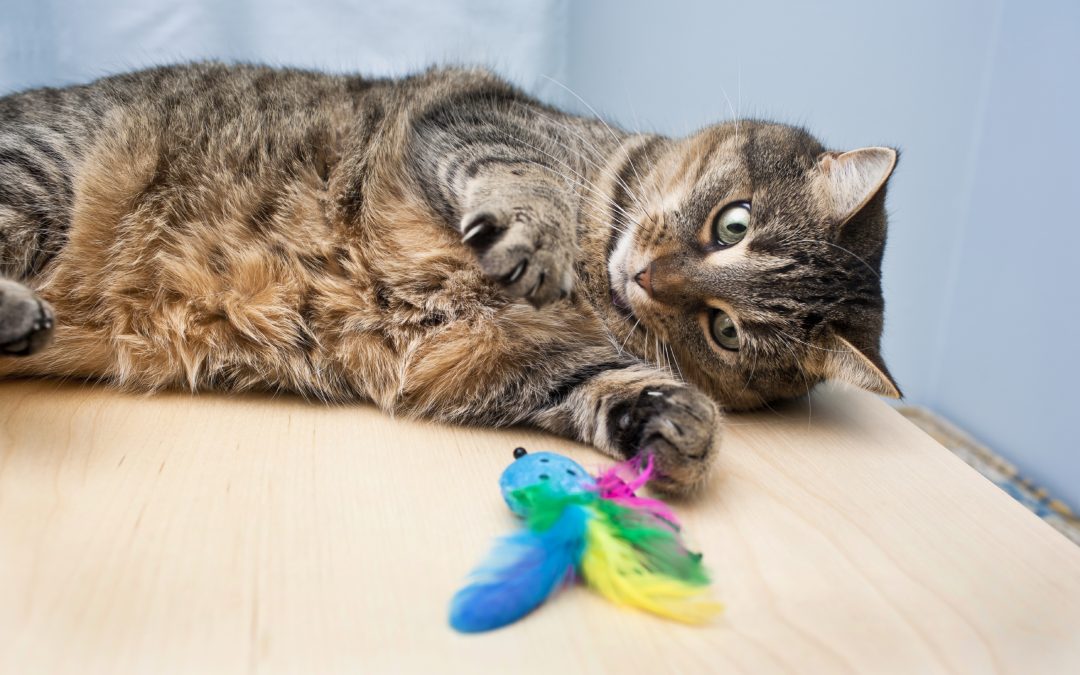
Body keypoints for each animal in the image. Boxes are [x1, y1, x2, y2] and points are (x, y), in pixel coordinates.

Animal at [0, 64, 898, 490]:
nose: (648, 276)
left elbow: (603, 384)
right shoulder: (479, 120)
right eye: (732, 224)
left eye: (725, 330)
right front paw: (540, 242)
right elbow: (525, 179)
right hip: (42, 174)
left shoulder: (495, 359)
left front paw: (677, 425)